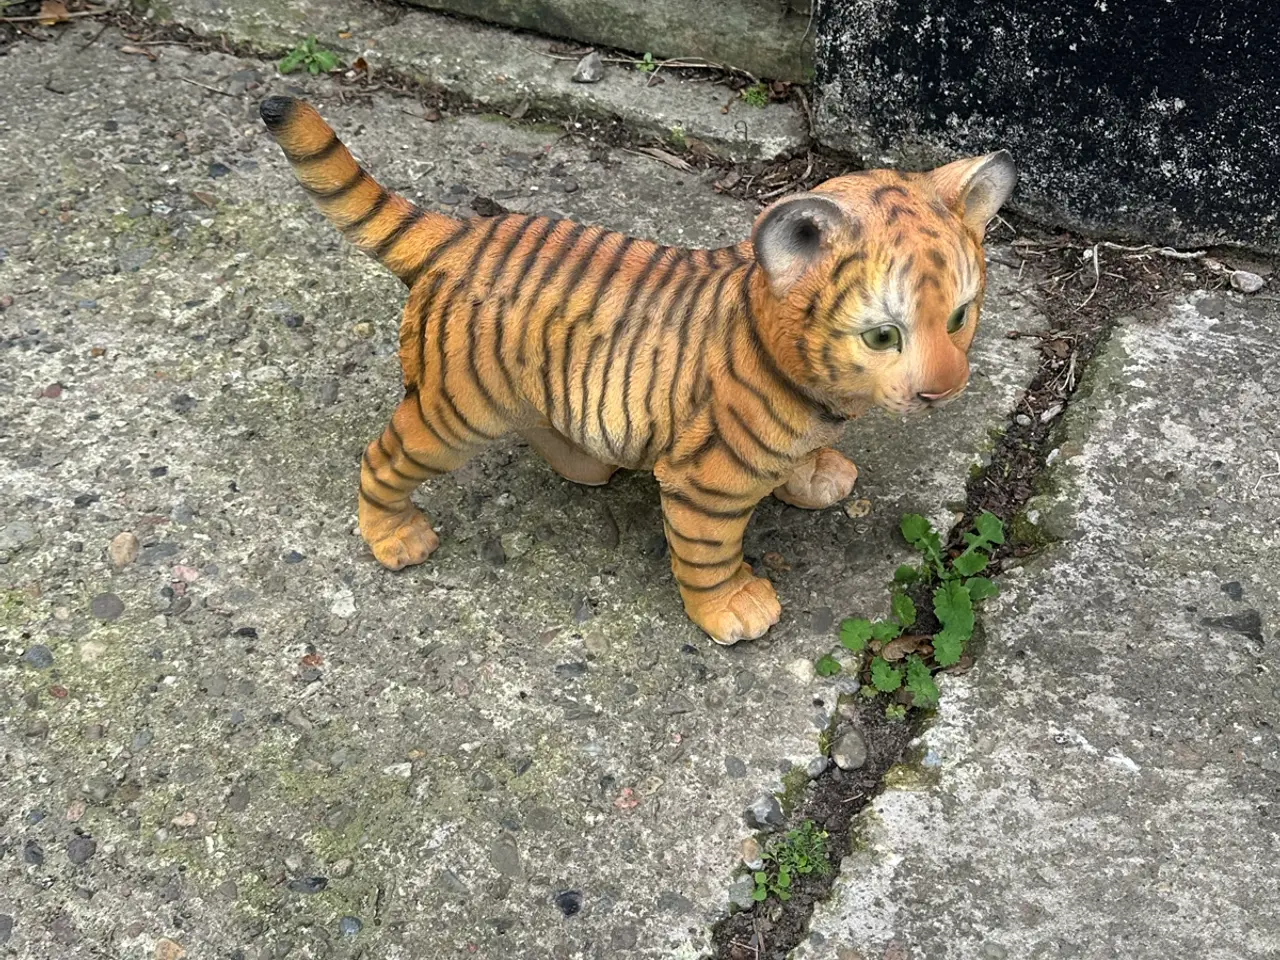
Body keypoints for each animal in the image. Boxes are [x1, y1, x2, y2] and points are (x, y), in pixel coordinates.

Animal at [259, 95, 1016, 645]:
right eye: (884, 335)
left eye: (959, 317)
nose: (944, 391)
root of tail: (461, 233)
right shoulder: (704, 481)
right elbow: (708, 553)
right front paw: (733, 607)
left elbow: (800, 460)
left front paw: (816, 474)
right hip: (453, 410)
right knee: (383, 458)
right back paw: (394, 536)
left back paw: (587, 464)